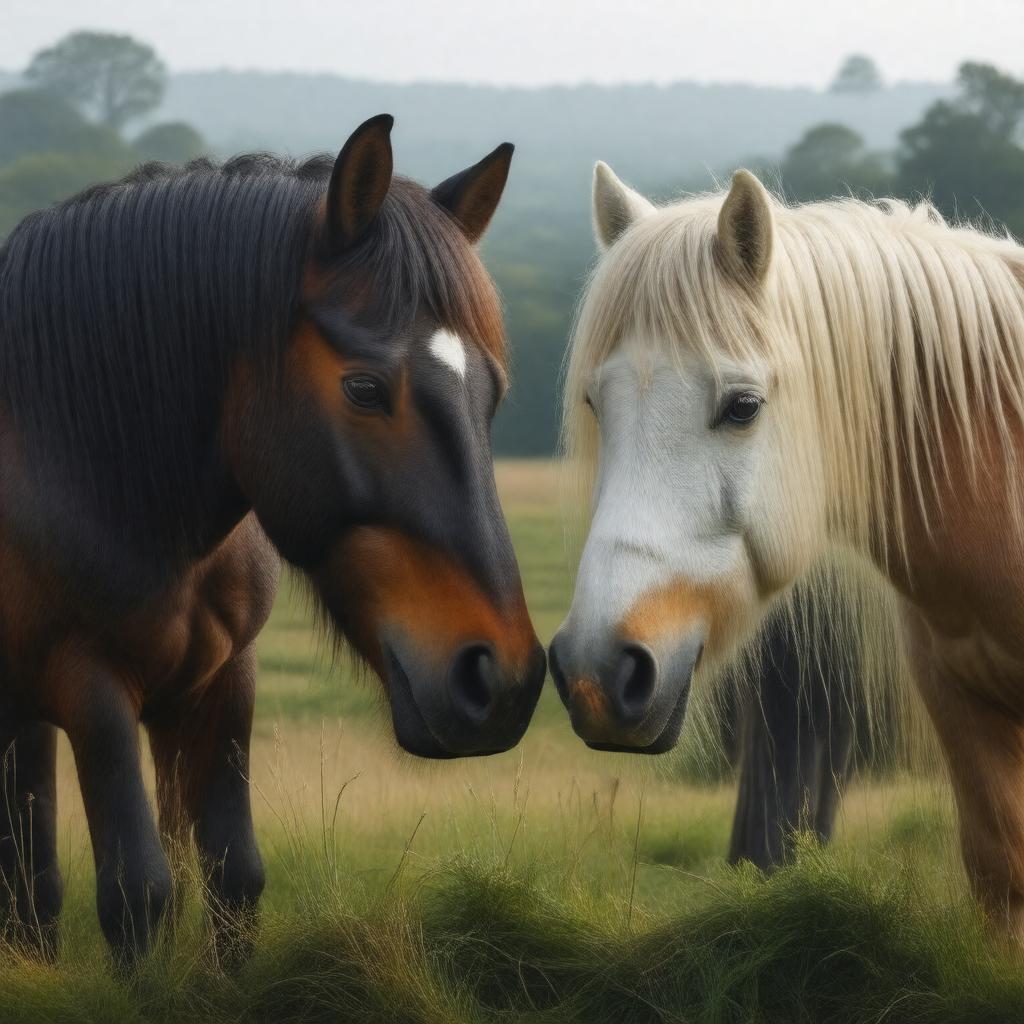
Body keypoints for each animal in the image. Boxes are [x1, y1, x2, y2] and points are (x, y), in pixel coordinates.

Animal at [0, 114, 546, 964]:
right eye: (363, 388)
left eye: (492, 393)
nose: (501, 677)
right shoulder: (87, 684)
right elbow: (138, 892)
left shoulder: (222, 680)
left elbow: (232, 876)